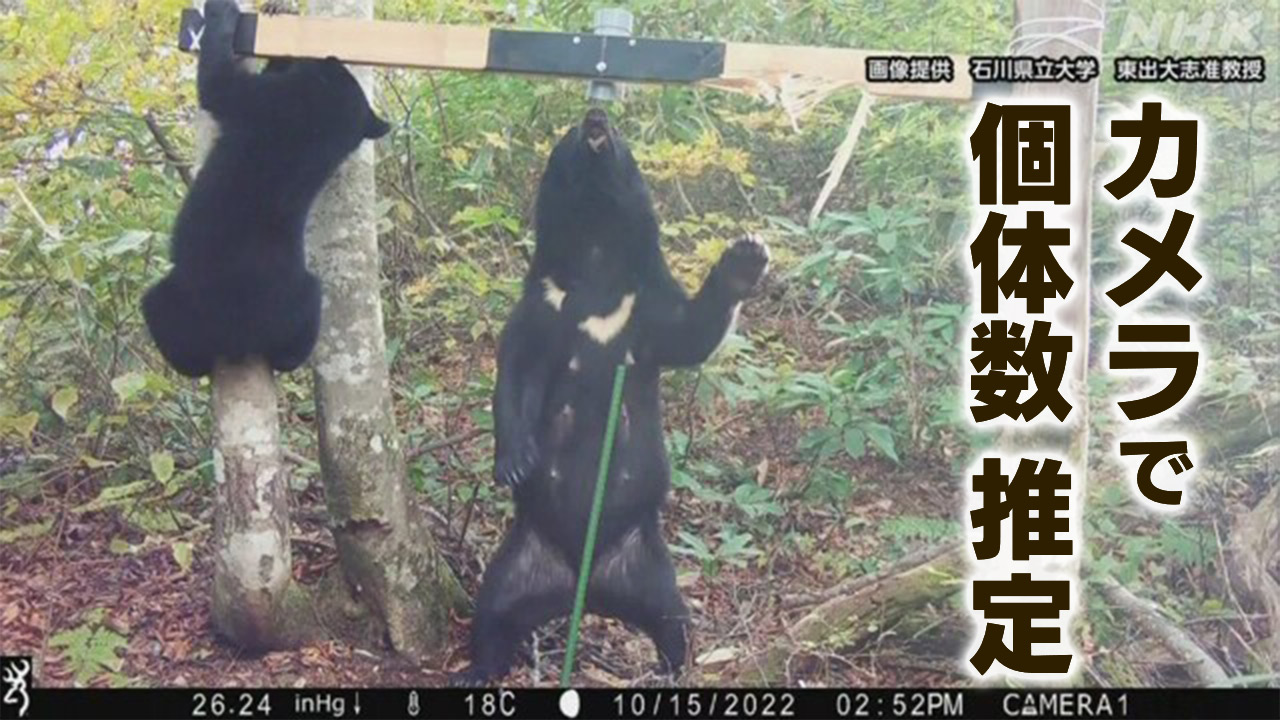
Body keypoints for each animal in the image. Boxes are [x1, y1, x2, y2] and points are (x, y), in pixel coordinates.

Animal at [141, 0, 390, 378]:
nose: (331, 57)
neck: (321, 125)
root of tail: (241, 338)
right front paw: (278, 11)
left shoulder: (268, 103)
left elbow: (219, 86)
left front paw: (222, 13)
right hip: (302, 300)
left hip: (185, 299)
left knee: (159, 310)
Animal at [456, 107, 770, 684]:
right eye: (568, 132)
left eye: (620, 135)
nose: (596, 116)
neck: (596, 256)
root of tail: (584, 586)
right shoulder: (543, 304)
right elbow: (514, 369)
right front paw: (514, 461)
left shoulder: (644, 305)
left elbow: (689, 334)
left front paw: (744, 257)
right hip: (520, 559)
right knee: (491, 612)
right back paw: (476, 669)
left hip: (647, 563)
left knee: (673, 622)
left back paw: (671, 668)